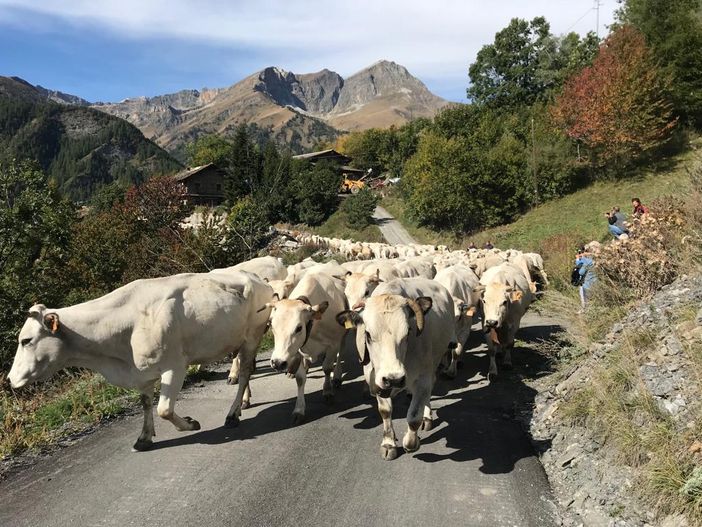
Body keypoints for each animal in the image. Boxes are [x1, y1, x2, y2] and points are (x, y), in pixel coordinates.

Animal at [8, 272, 273, 451]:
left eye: (26, 340)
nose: (10, 379)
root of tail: (256, 277)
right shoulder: (141, 373)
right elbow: (146, 403)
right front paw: (144, 437)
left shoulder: (175, 366)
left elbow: (164, 409)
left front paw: (189, 424)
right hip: (237, 340)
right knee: (245, 369)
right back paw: (244, 402)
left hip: (252, 336)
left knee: (246, 372)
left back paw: (232, 414)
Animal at [265, 272, 348, 425]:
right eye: (271, 324)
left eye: (299, 328)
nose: (277, 363)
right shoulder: (297, 350)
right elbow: (300, 379)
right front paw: (299, 410)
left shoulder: (332, 345)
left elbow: (327, 368)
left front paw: (328, 391)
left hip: (343, 336)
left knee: (340, 354)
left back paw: (337, 376)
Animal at [336, 278, 457, 460]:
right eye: (368, 334)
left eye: (408, 332)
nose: (394, 379)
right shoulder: (377, 380)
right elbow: (385, 411)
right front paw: (388, 443)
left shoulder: (423, 378)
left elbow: (413, 416)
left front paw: (411, 442)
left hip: (433, 364)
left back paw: (427, 417)